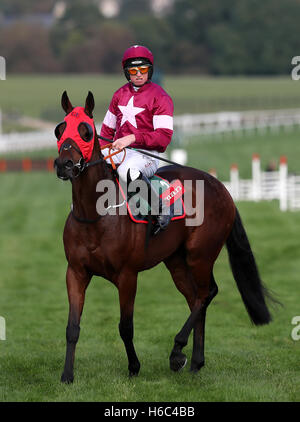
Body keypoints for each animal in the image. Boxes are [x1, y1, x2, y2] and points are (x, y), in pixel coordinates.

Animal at [54, 91, 274, 382]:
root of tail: (221, 187)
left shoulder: (127, 275)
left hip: (200, 255)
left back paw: (178, 352)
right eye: (59, 130)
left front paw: (134, 367)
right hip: (176, 260)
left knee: (206, 293)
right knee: (195, 298)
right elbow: (72, 327)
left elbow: (126, 326)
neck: (96, 215)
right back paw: (195, 361)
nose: (64, 165)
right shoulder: (76, 272)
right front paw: (67, 375)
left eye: (86, 131)